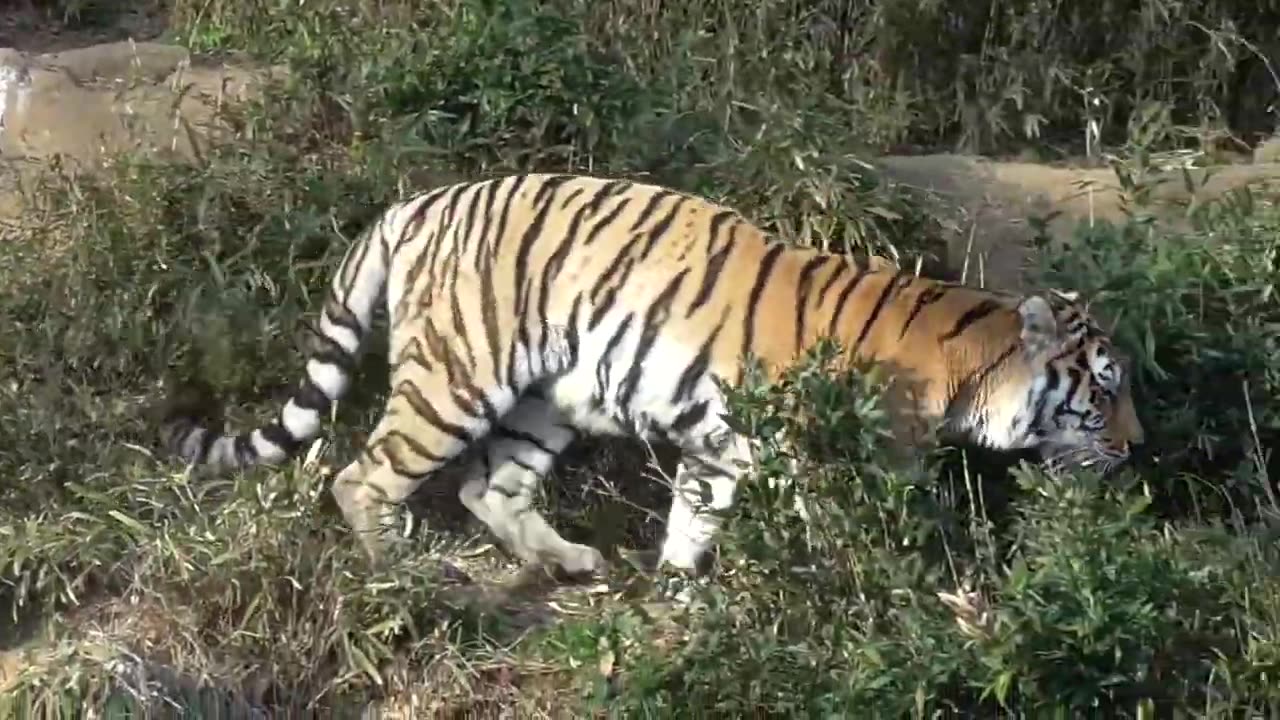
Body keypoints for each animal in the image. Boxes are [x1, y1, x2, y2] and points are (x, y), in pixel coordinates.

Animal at [162, 170, 1152, 579]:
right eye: (1102, 390)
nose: (1139, 449)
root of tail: (412, 205)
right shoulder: (840, 463)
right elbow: (867, 546)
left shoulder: (722, 447)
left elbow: (692, 522)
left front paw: (678, 597)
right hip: (457, 376)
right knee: (360, 475)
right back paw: (400, 574)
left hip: (548, 399)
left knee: (491, 488)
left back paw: (568, 562)